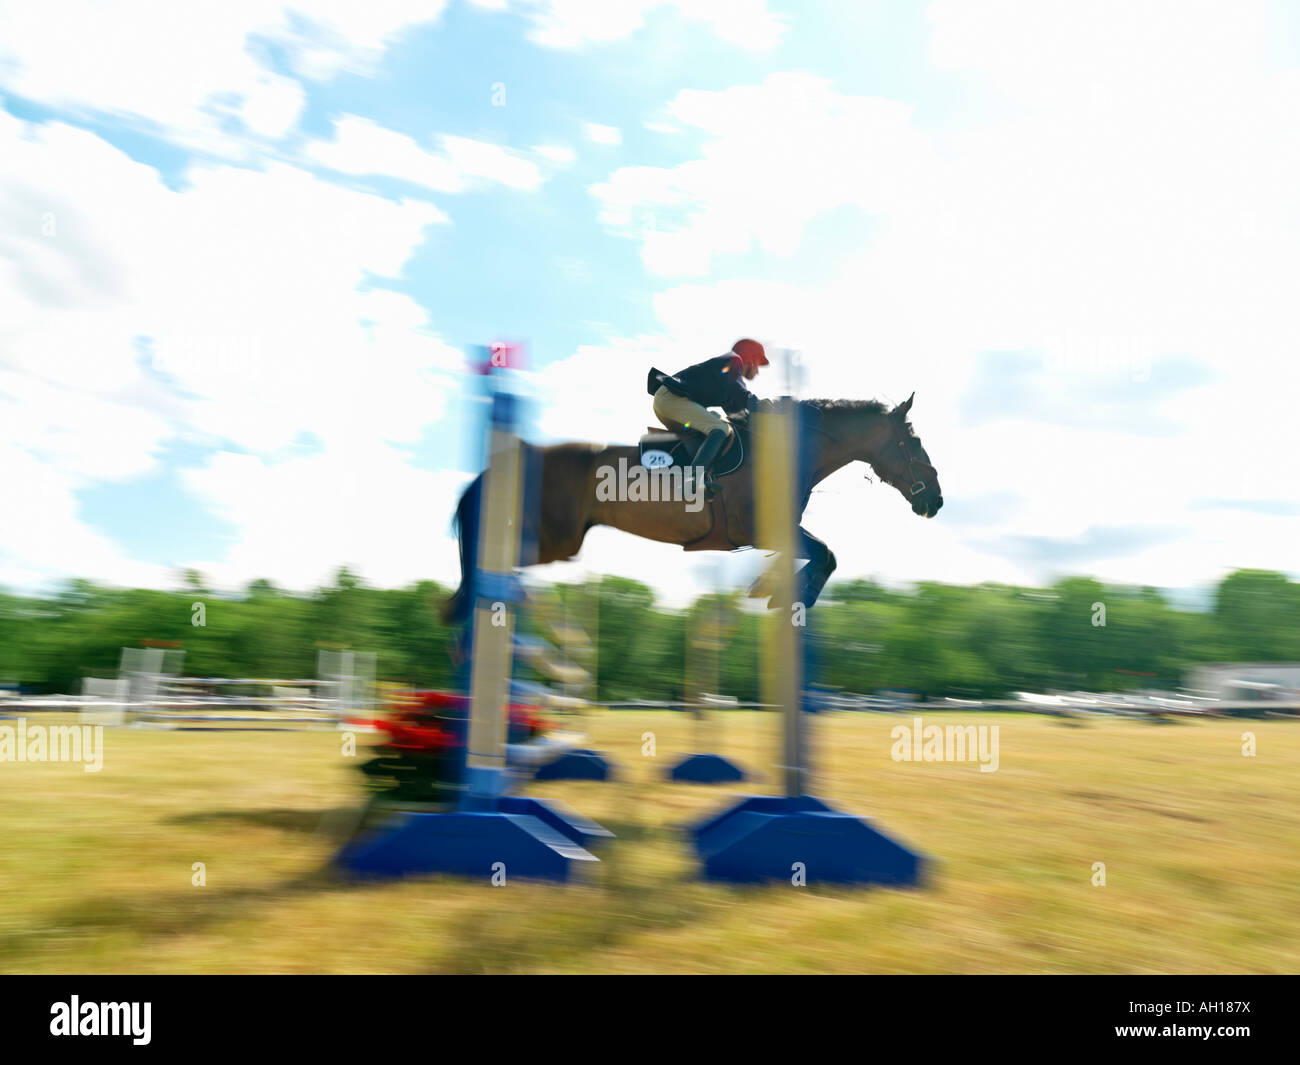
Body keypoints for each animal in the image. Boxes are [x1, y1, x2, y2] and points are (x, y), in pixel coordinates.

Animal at [441, 395, 941, 621]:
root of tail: (518, 458)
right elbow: (828, 554)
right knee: (492, 564)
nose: (935, 500)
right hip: (556, 541)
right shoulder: (760, 530)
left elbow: (825, 554)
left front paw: (777, 590)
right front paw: (789, 595)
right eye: (914, 442)